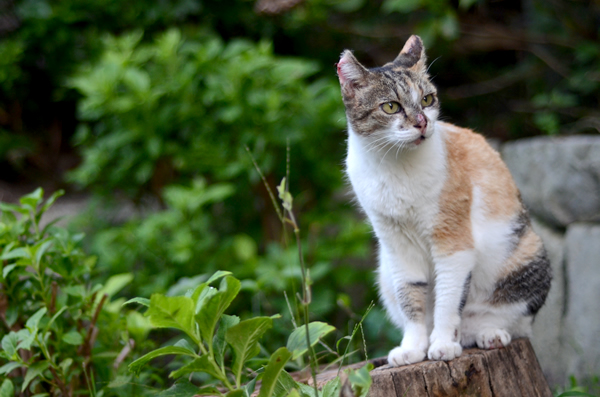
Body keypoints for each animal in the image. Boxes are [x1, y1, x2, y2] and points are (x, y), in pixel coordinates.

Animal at [336, 34, 552, 366]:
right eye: (390, 106)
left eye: (427, 100)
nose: (422, 122)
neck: (396, 168)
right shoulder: (396, 245)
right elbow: (411, 297)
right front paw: (413, 348)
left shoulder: (453, 242)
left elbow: (448, 300)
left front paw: (442, 345)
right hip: (384, 271)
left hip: (527, 253)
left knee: (511, 320)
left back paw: (486, 334)